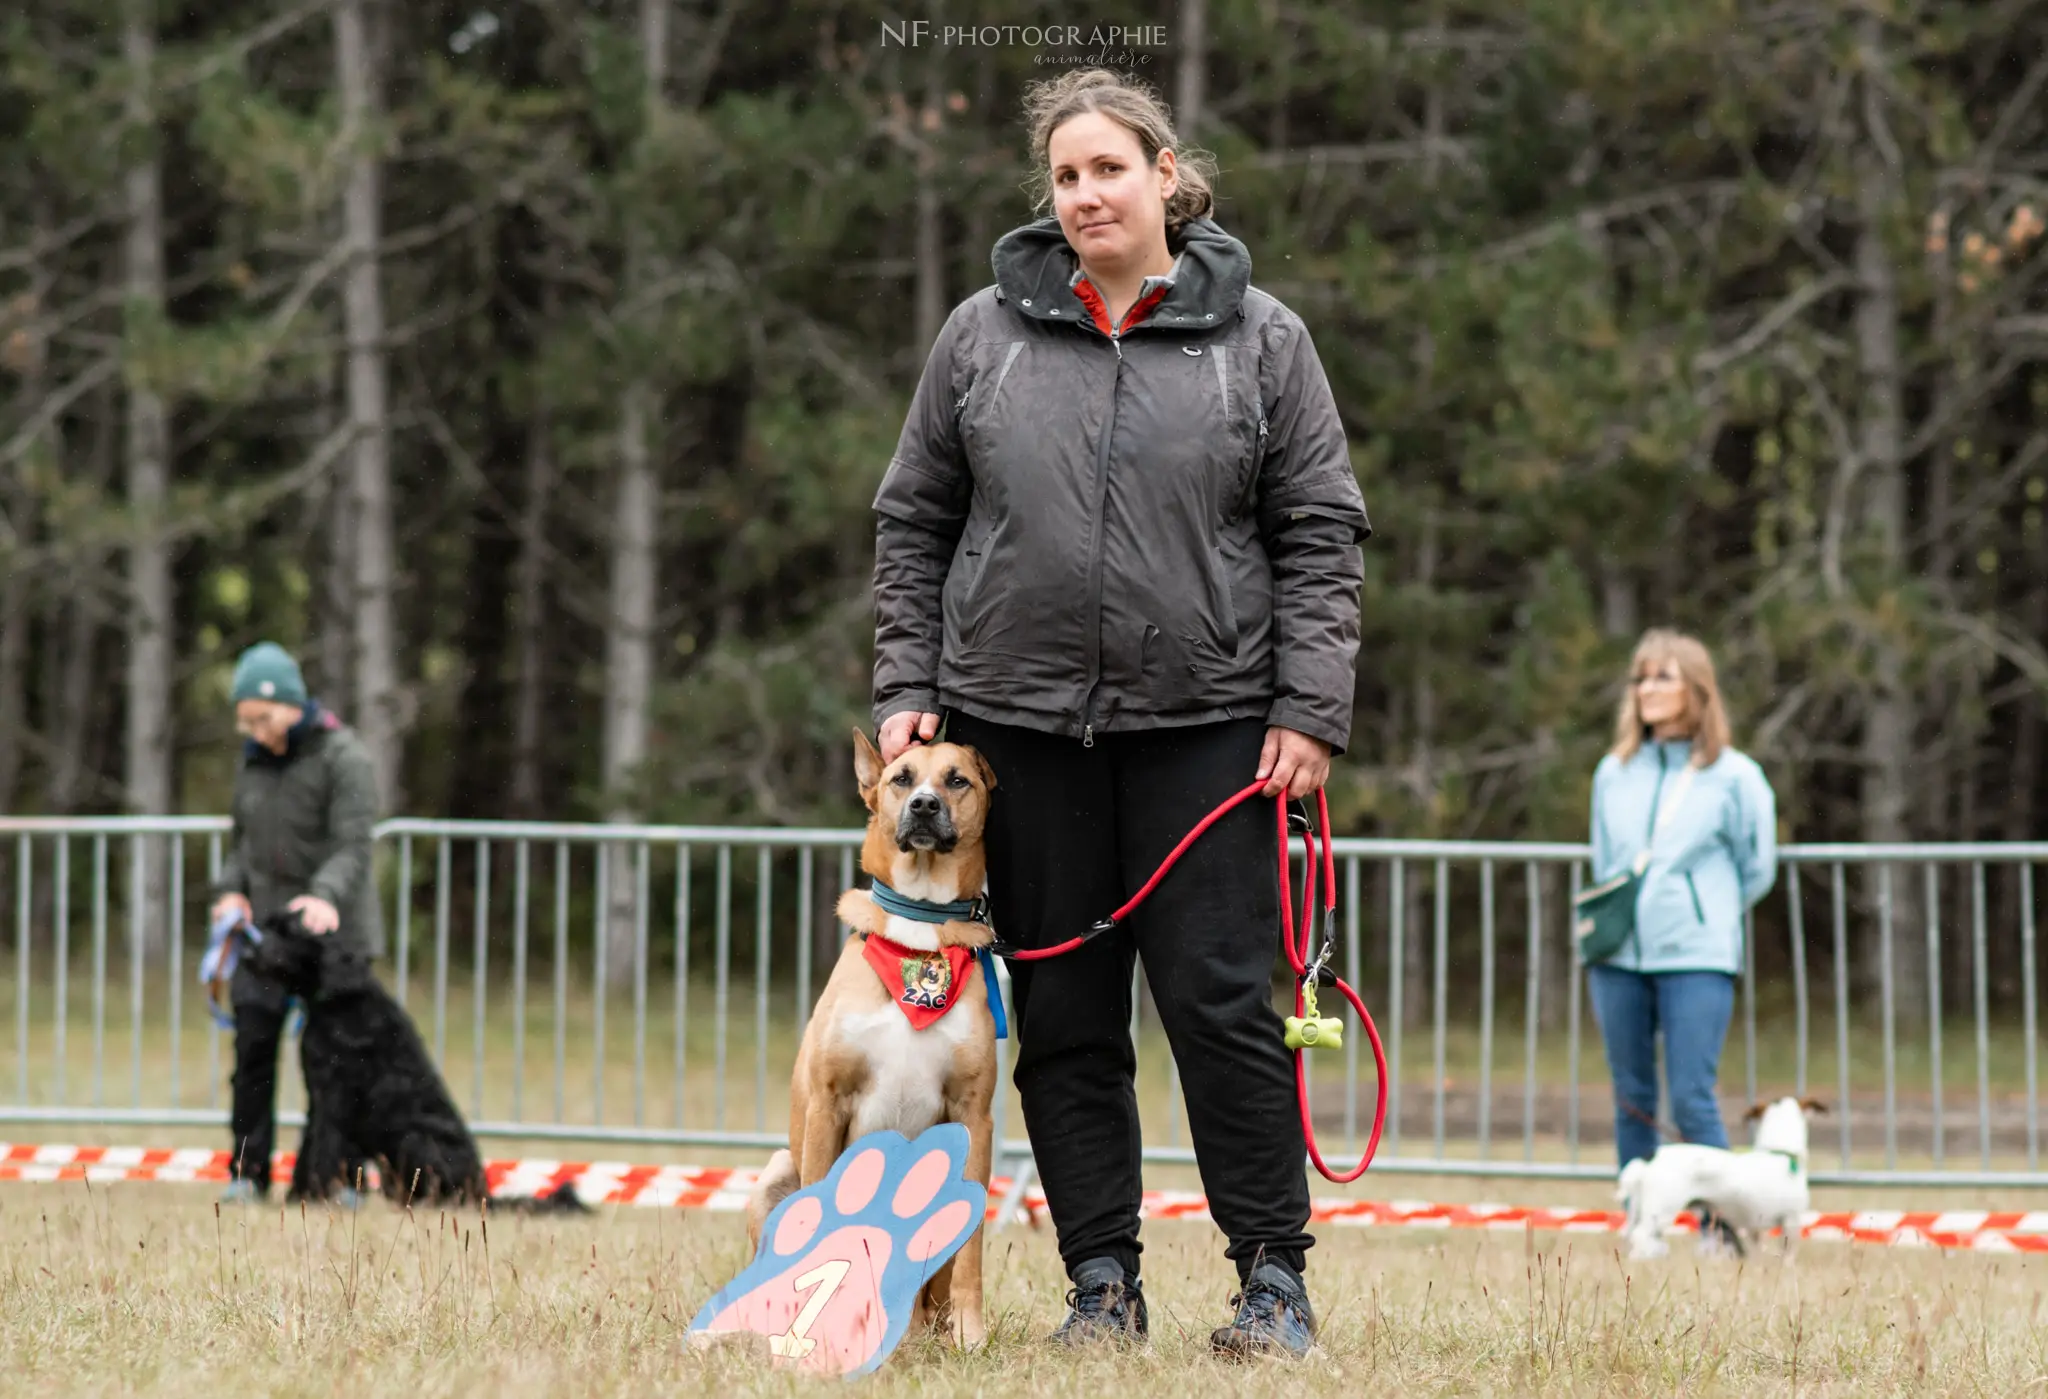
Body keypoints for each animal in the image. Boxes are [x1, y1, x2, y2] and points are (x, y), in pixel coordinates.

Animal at [239, 913, 487, 1212]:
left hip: (415, 1139)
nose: (247, 953)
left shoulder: (335, 1095)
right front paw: (300, 1193)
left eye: (288, 932)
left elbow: (325, 1146)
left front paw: (317, 1195)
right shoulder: (318, 1096)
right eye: (267, 926)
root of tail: (484, 1191)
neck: (337, 999)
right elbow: (309, 1146)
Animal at [753, 729, 1007, 1351]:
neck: (920, 929)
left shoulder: (974, 1115)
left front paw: (970, 1334)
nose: (924, 806)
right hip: (774, 1174)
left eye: (957, 780)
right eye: (902, 777)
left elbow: (971, 1254)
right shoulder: (828, 1103)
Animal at [1613, 1097, 1826, 1261]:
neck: (1780, 1153)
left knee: (1631, 1233)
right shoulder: (1791, 1220)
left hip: (1640, 1208)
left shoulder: (1755, 1228)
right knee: (1640, 1236)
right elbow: (1788, 1253)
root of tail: (1650, 1157)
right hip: (1662, 1210)